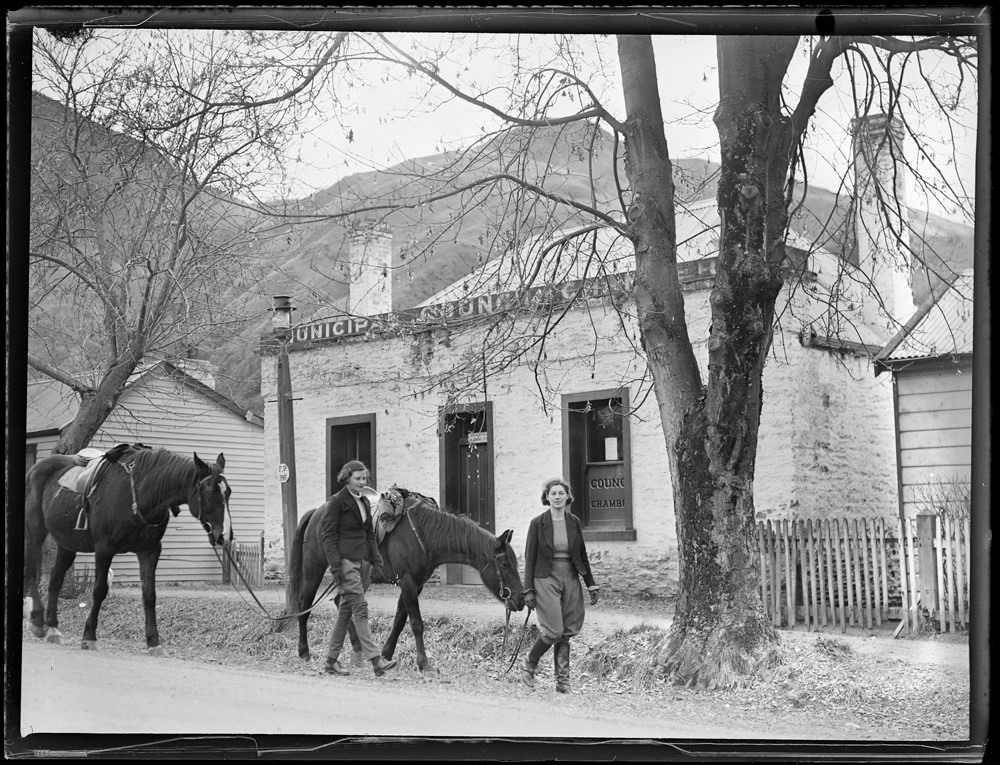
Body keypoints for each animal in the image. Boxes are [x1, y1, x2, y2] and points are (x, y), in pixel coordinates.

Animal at [24, 444, 231, 652]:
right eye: (208, 491)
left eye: (228, 492)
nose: (224, 535)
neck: (139, 493)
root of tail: (35, 468)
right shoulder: (104, 549)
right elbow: (99, 591)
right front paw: (89, 636)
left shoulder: (150, 551)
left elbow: (149, 595)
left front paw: (154, 641)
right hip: (36, 532)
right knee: (32, 572)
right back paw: (37, 621)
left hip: (67, 543)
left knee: (55, 580)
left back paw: (52, 628)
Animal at [288, 490, 528, 668]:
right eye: (505, 564)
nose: (520, 599)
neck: (424, 534)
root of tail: (317, 512)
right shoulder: (408, 582)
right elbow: (416, 623)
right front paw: (423, 663)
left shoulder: (415, 584)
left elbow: (400, 619)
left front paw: (386, 654)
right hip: (314, 569)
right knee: (305, 605)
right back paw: (304, 651)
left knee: (341, 603)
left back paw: (358, 648)